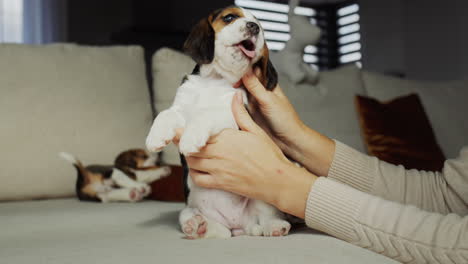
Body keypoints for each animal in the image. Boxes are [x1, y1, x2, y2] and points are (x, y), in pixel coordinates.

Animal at [147, 5, 292, 239]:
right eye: (229, 17)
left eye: (259, 25)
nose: (254, 27)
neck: (214, 80)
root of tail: (238, 226)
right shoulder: (181, 108)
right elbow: (166, 114)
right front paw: (155, 137)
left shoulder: (234, 113)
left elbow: (207, 114)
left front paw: (191, 139)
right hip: (193, 209)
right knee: (202, 222)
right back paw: (198, 226)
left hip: (263, 199)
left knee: (266, 219)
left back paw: (276, 226)